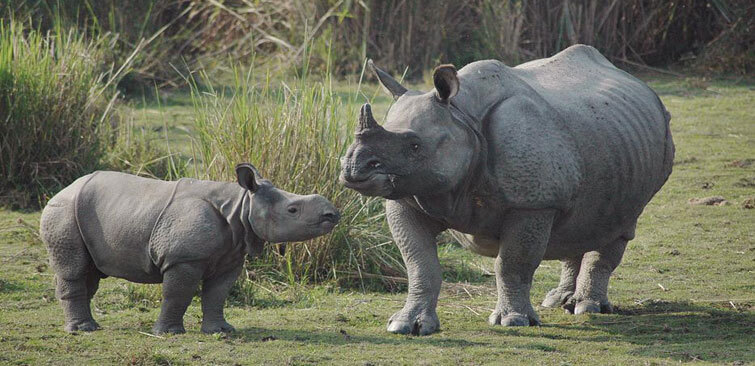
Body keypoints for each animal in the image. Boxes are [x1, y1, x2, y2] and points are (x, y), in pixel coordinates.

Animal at [38, 163, 340, 334]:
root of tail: (63, 190)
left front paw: (221, 331)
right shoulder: (184, 258)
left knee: (90, 272)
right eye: (293, 210)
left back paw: (87, 325)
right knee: (74, 268)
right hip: (62, 211)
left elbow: (217, 294)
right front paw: (169, 333)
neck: (242, 205)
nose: (333, 215)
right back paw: (83, 330)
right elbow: (178, 294)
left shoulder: (231, 255)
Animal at [340, 45, 676, 334]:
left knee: (619, 223)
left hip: (652, 143)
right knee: (580, 222)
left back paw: (586, 307)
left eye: (414, 145)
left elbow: (512, 263)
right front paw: (406, 325)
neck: (462, 115)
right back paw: (558, 301)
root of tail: (640, 84)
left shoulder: (533, 202)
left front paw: (513, 321)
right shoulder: (407, 197)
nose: (353, 167)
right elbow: (419, 264)